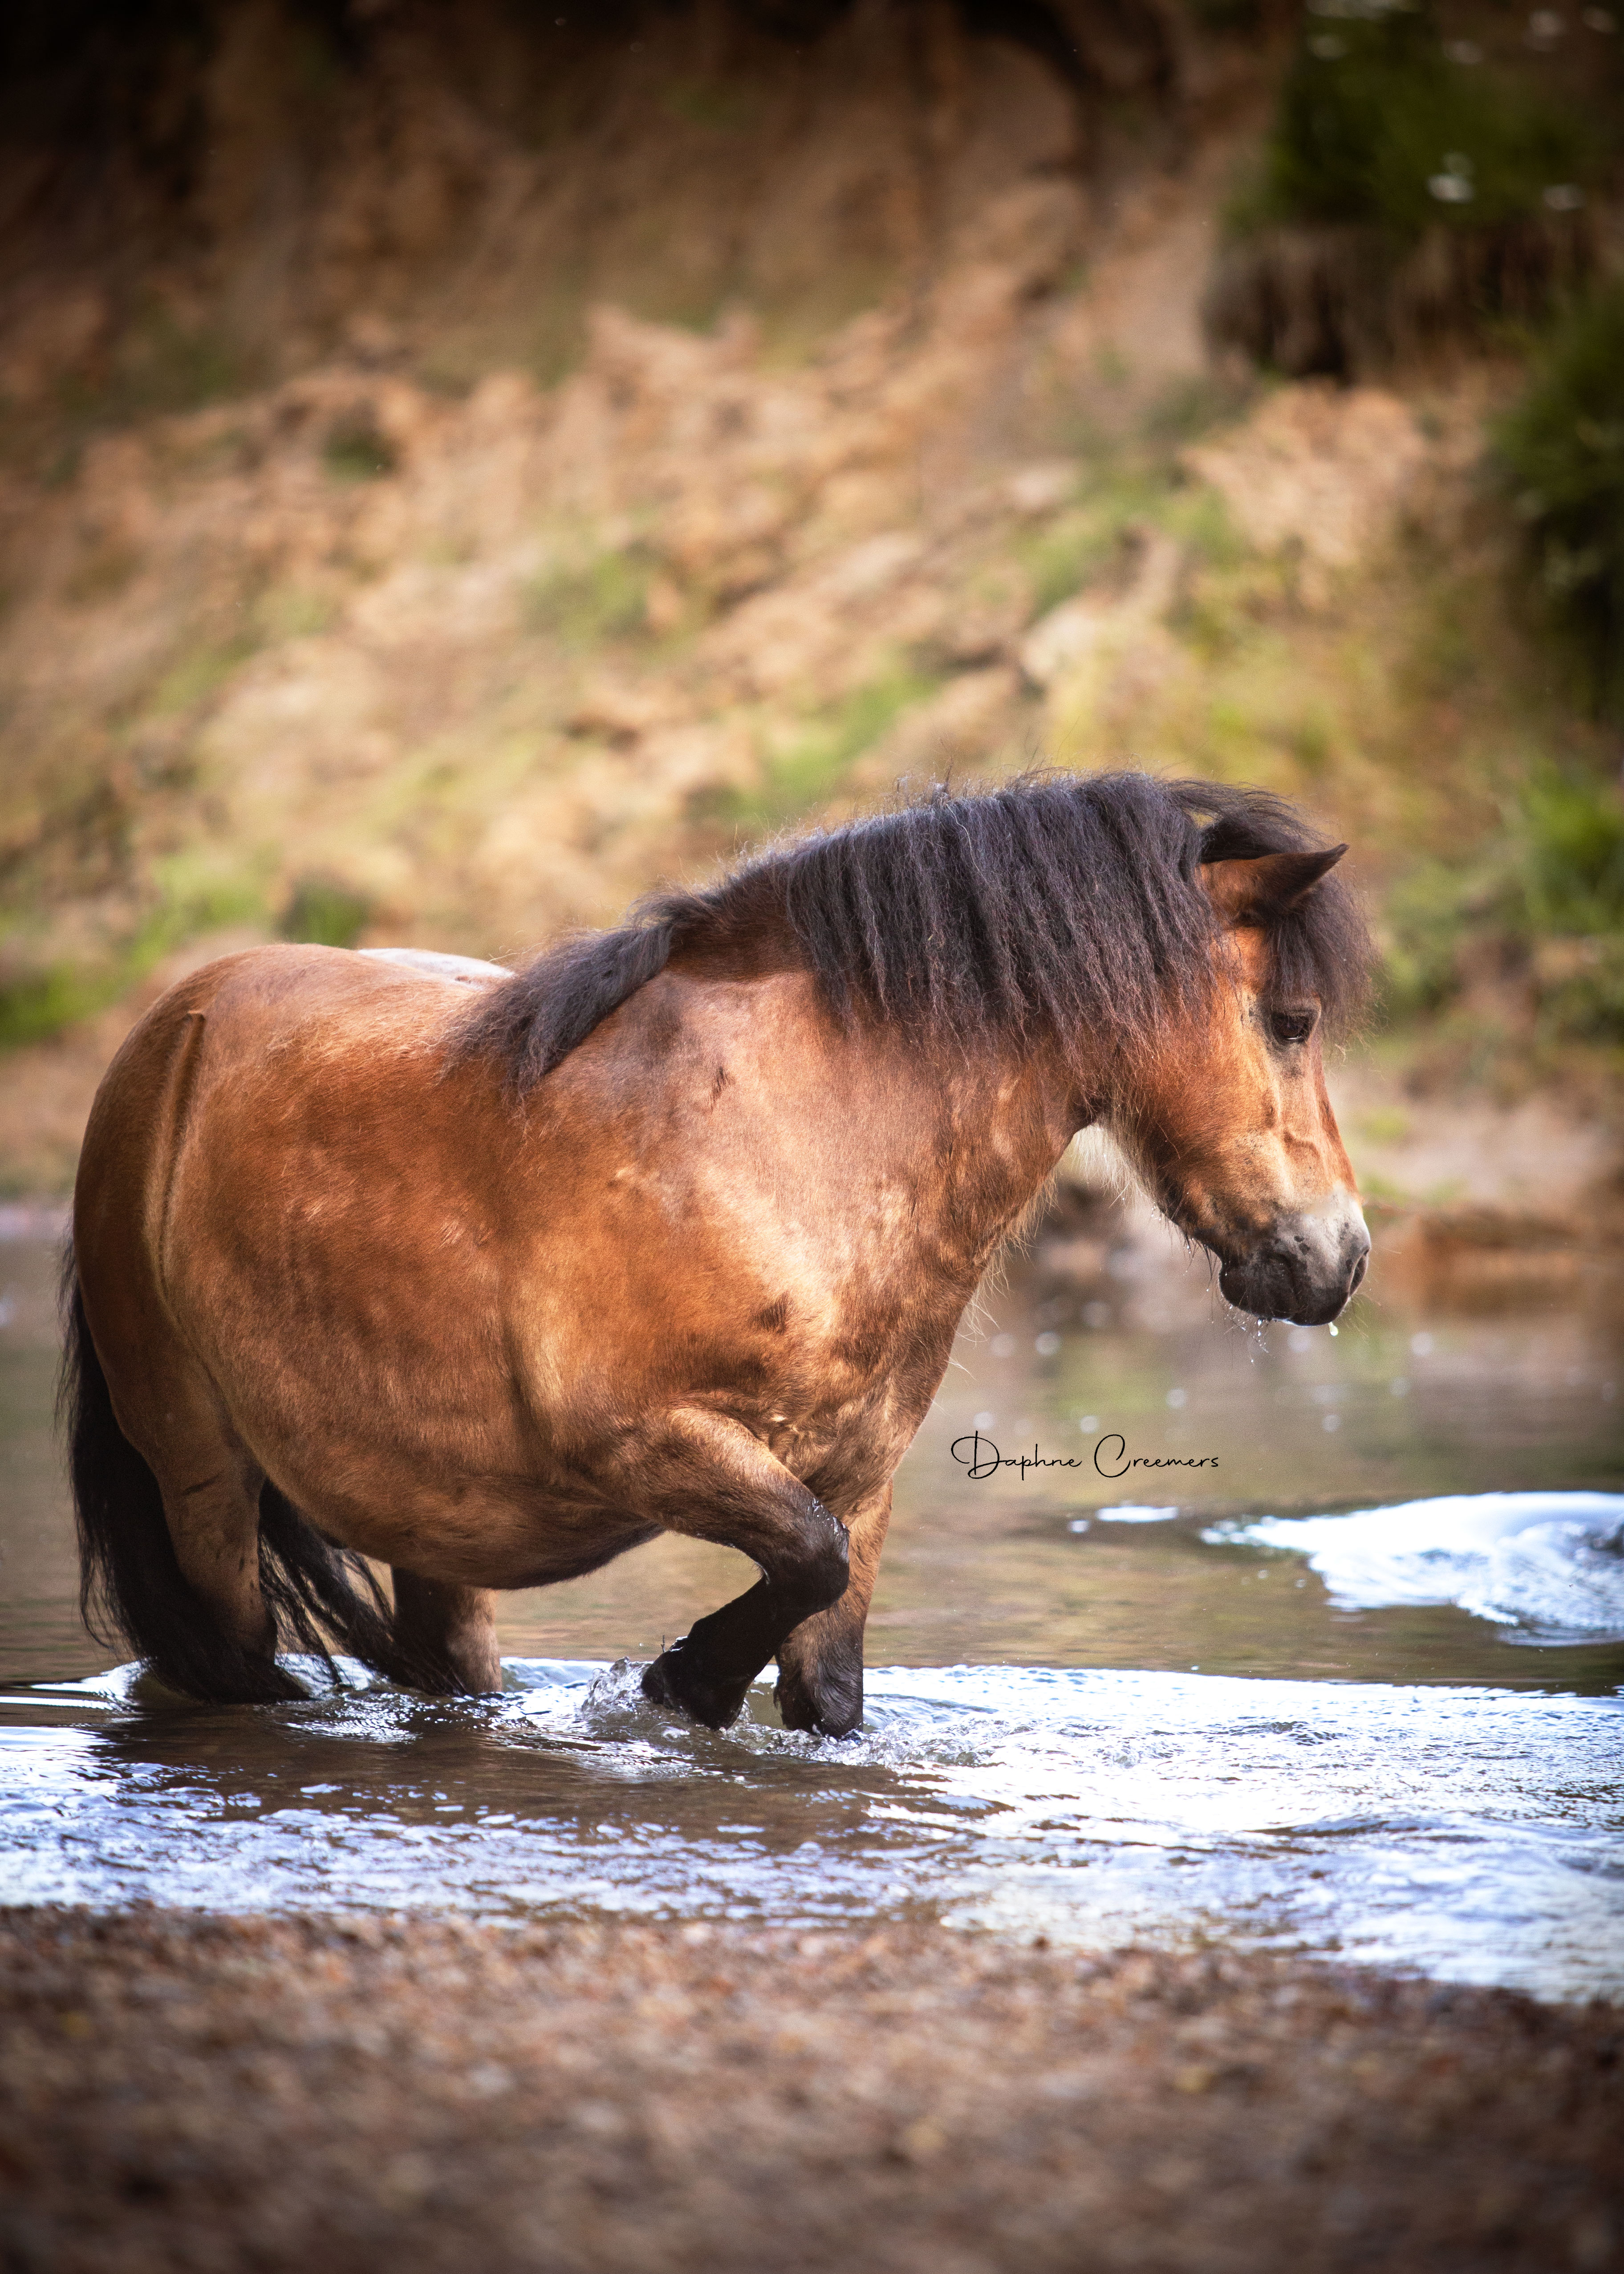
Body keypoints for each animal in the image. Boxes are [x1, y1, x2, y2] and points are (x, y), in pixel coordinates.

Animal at [63, 771, 1371, 1734]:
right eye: (1289, 1020)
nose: (1341, 1257)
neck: (796, 1138)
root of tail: (176, 1028)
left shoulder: (859, 1481)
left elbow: (828, 1657)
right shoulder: (642, 1440)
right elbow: (802, 1559)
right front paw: (678, 1683)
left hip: (434, 1519)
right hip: (200, 1476)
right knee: (227, 1663)